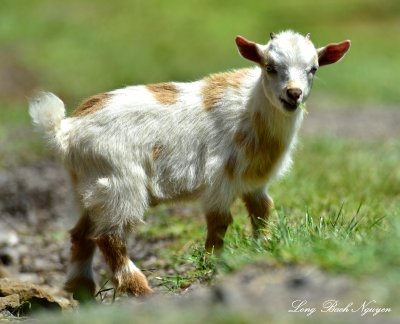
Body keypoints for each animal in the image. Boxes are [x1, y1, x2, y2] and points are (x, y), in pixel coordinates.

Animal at [28, 30, 350, 298]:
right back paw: (140, 289)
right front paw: (211, 263)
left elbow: (262, 211)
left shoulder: (254, 180)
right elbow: (220, 222)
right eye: (269, 67)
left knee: (81, 234)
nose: (293, 94)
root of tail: (66, 130)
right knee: (109, 237)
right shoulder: (220, 178)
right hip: (119, 183)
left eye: (313, 69)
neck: (251, 109)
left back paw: (82, 290)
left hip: (87, 188)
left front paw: (265, 246)